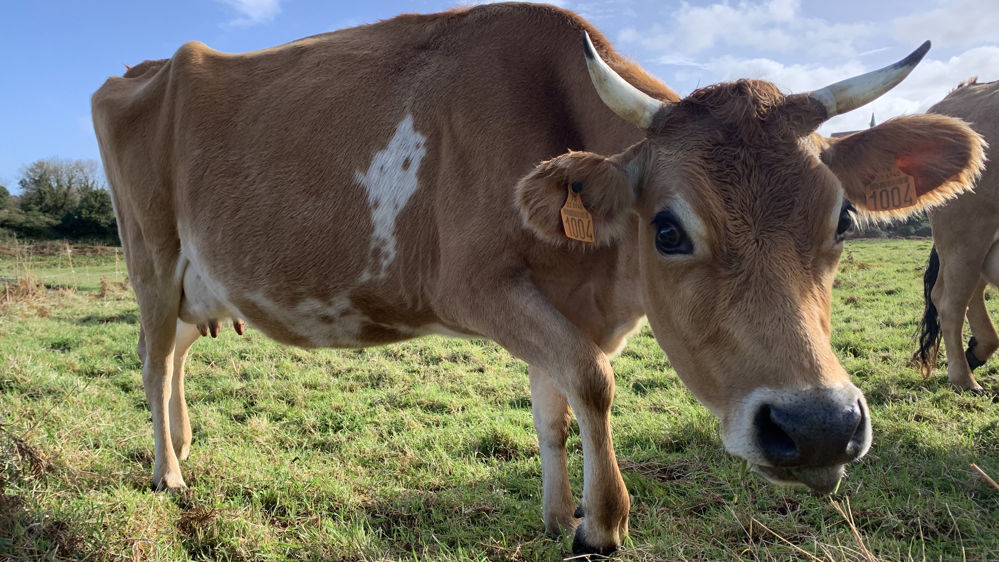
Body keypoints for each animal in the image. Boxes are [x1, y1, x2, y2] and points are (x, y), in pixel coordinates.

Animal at [91, 4, 985, 554]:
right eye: (667, 228)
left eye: (842, 221)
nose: (819, 427)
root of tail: (146, 66)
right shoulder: (477, 288)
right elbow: (590, 384)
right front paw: (601, 523)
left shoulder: (559, 310)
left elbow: (553, 409)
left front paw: (560, 513)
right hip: (151, 264)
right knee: (153, 362)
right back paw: (168, 471)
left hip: (191, 283)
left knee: (178, 357)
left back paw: (184, 443)